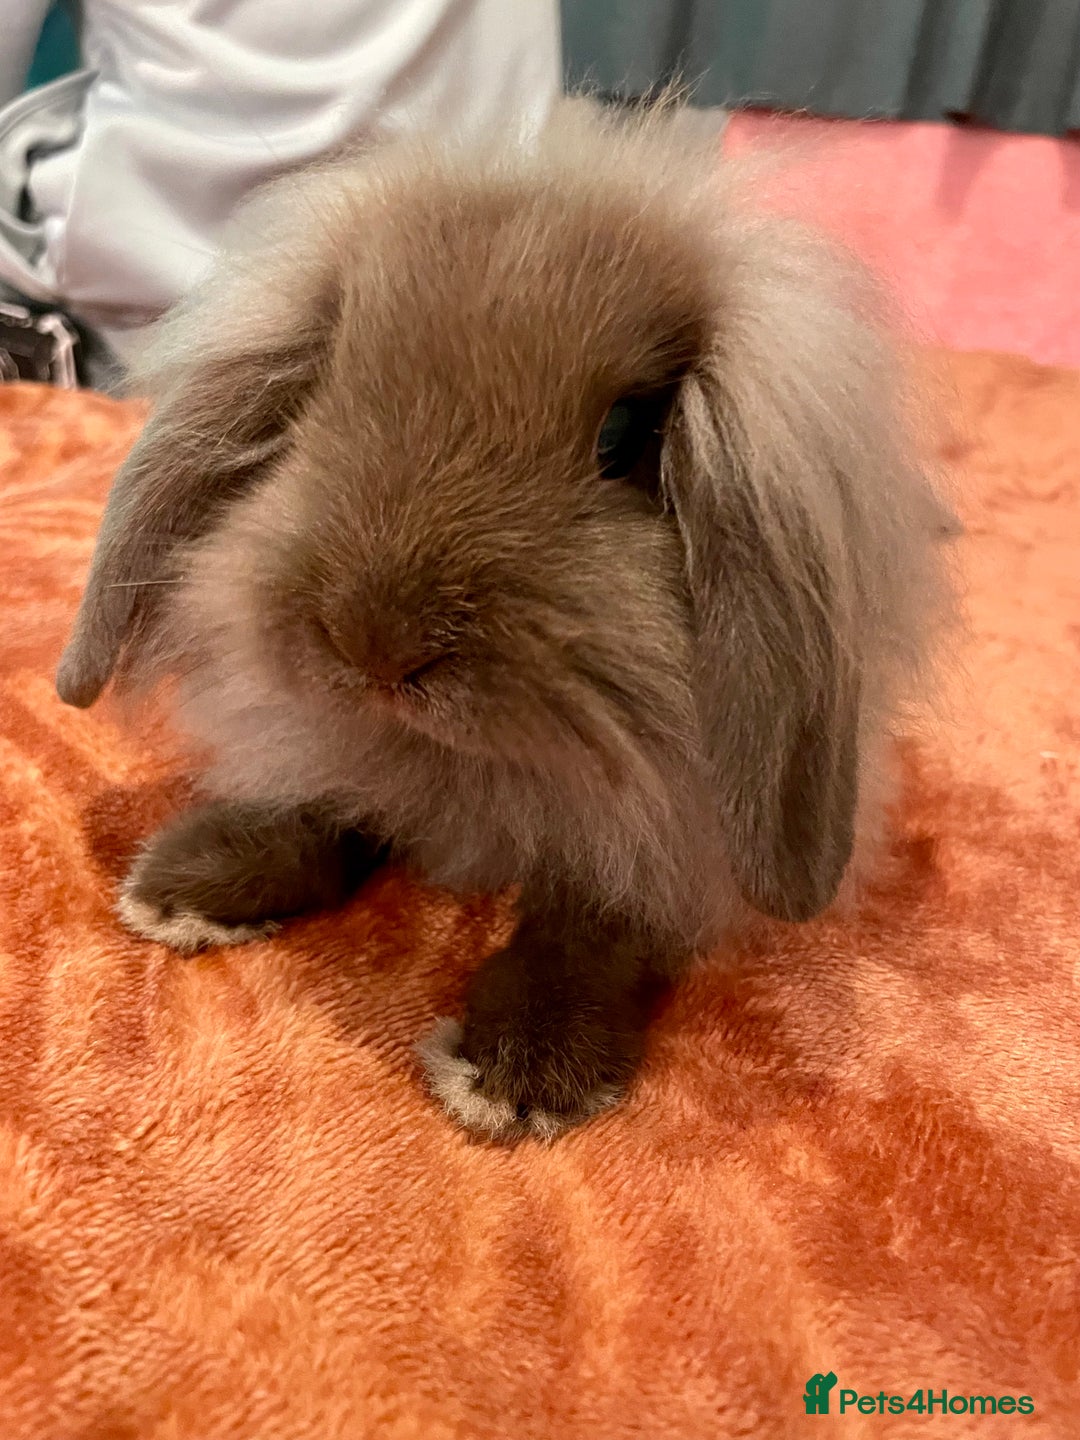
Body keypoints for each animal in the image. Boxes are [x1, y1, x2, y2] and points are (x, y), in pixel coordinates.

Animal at [56, 98, 958, 1141]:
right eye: (325, 390)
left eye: (625, 436)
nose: (376, 647)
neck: (466, 769)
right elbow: (319, 809)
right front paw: (184, 886)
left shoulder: (660, 842)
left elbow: (592, 927)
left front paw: (518, 1072)